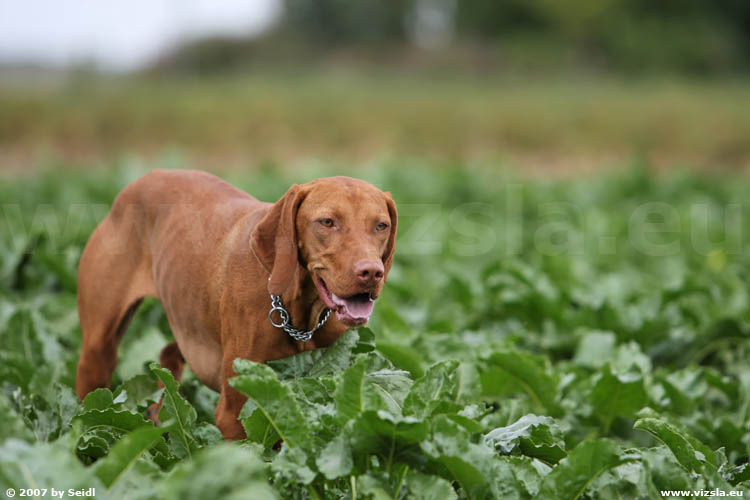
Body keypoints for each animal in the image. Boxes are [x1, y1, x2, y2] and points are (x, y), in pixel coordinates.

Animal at [75, 171, 400, 438]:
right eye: (327, 222)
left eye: (381, 225)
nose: (371, 272)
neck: (298, 314)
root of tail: (135, 183)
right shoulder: (234, 413)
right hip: (98, 350)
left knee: (169, 355)